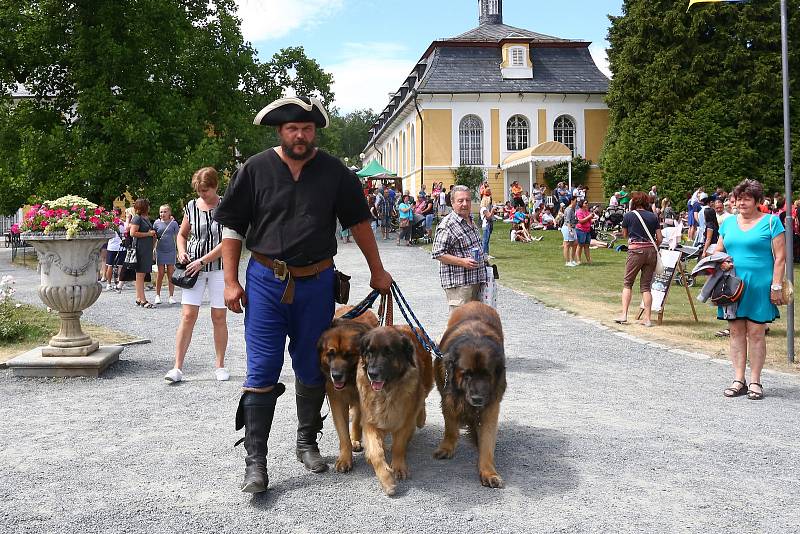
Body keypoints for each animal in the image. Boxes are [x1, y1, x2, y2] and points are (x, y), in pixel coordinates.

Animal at [316, 308, 378, 476]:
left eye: (348, 355)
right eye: (330, 354)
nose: (336, 376)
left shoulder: (362, 398)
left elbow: (357, 421)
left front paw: (355, 440)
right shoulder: (337, 400)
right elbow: (343, 433)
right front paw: (345, 459)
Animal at [356, 326, 432, 498]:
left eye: (388, 353)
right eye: (369, 352)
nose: (372, 373)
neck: (387, 391)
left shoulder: (405, 420)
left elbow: (399, 445)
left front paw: (398, 467)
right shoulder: (370, 422)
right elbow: (376, 452)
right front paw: (387, 480)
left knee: (422, 399)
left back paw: (421, 418)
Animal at [432, 302, 506, 490]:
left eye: (487, 375)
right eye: (466, 374)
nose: (477, 399)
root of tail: (475, 302)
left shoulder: (491, 405)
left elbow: (487, 441)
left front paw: (489, 473)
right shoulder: (448, 398)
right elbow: (451, 427)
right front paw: (447, 447)